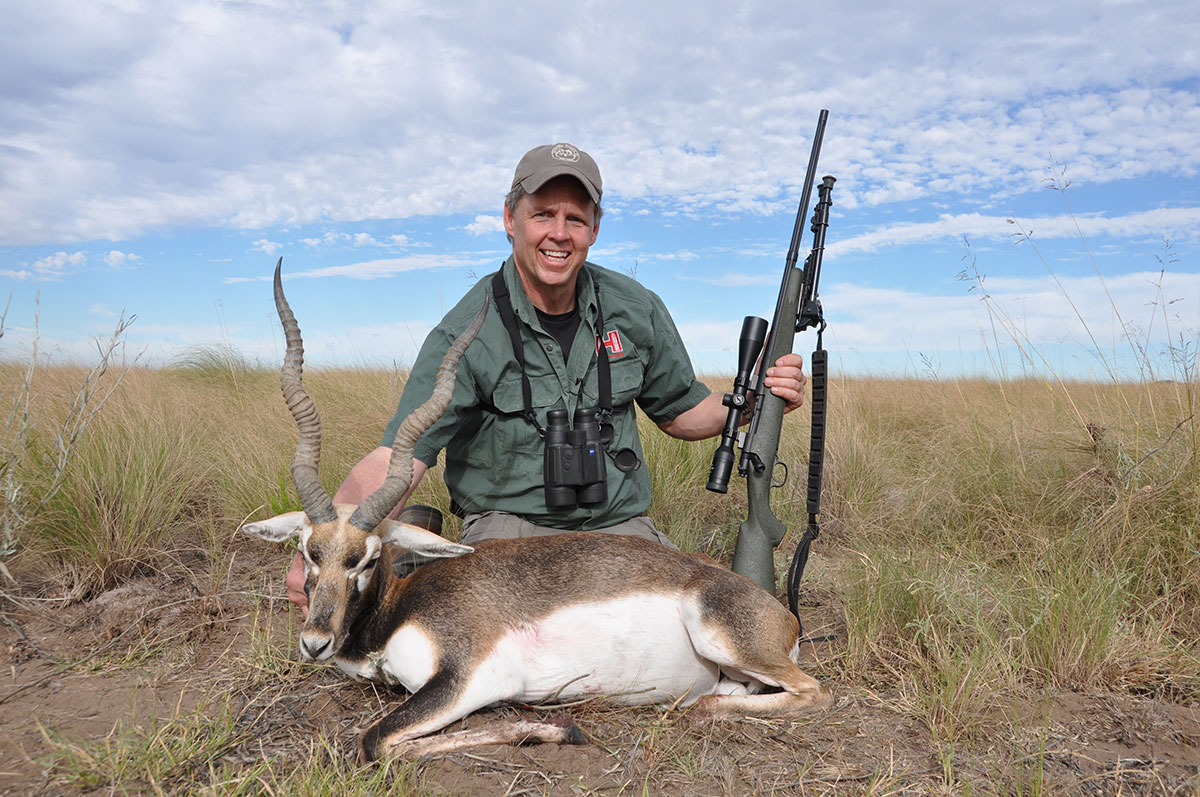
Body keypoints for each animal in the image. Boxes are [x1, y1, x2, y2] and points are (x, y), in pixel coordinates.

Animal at [240, 260, 830, 758]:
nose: (314, 642)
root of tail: (784, 616)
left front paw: (555, 727)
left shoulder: (465, 677)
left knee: (809, 693)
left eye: (363, 558)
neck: (395, 611)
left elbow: (375, 743)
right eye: (307, 552)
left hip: (722, 636)